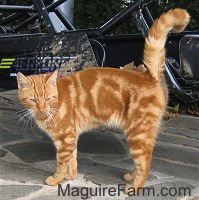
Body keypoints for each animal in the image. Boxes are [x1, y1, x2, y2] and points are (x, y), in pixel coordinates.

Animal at [17, 8, 190, 193]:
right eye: (33, 100)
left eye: (48, 99)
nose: (42, 108)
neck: (52, 108)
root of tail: (148, 75)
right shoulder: (71, 138)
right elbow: (72, 160)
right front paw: (71, 176)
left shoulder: (64, 139)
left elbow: (62, 163)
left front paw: (57, 179)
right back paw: (131, 177)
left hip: (137, 132)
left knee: (145, 162)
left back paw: (134, 187)